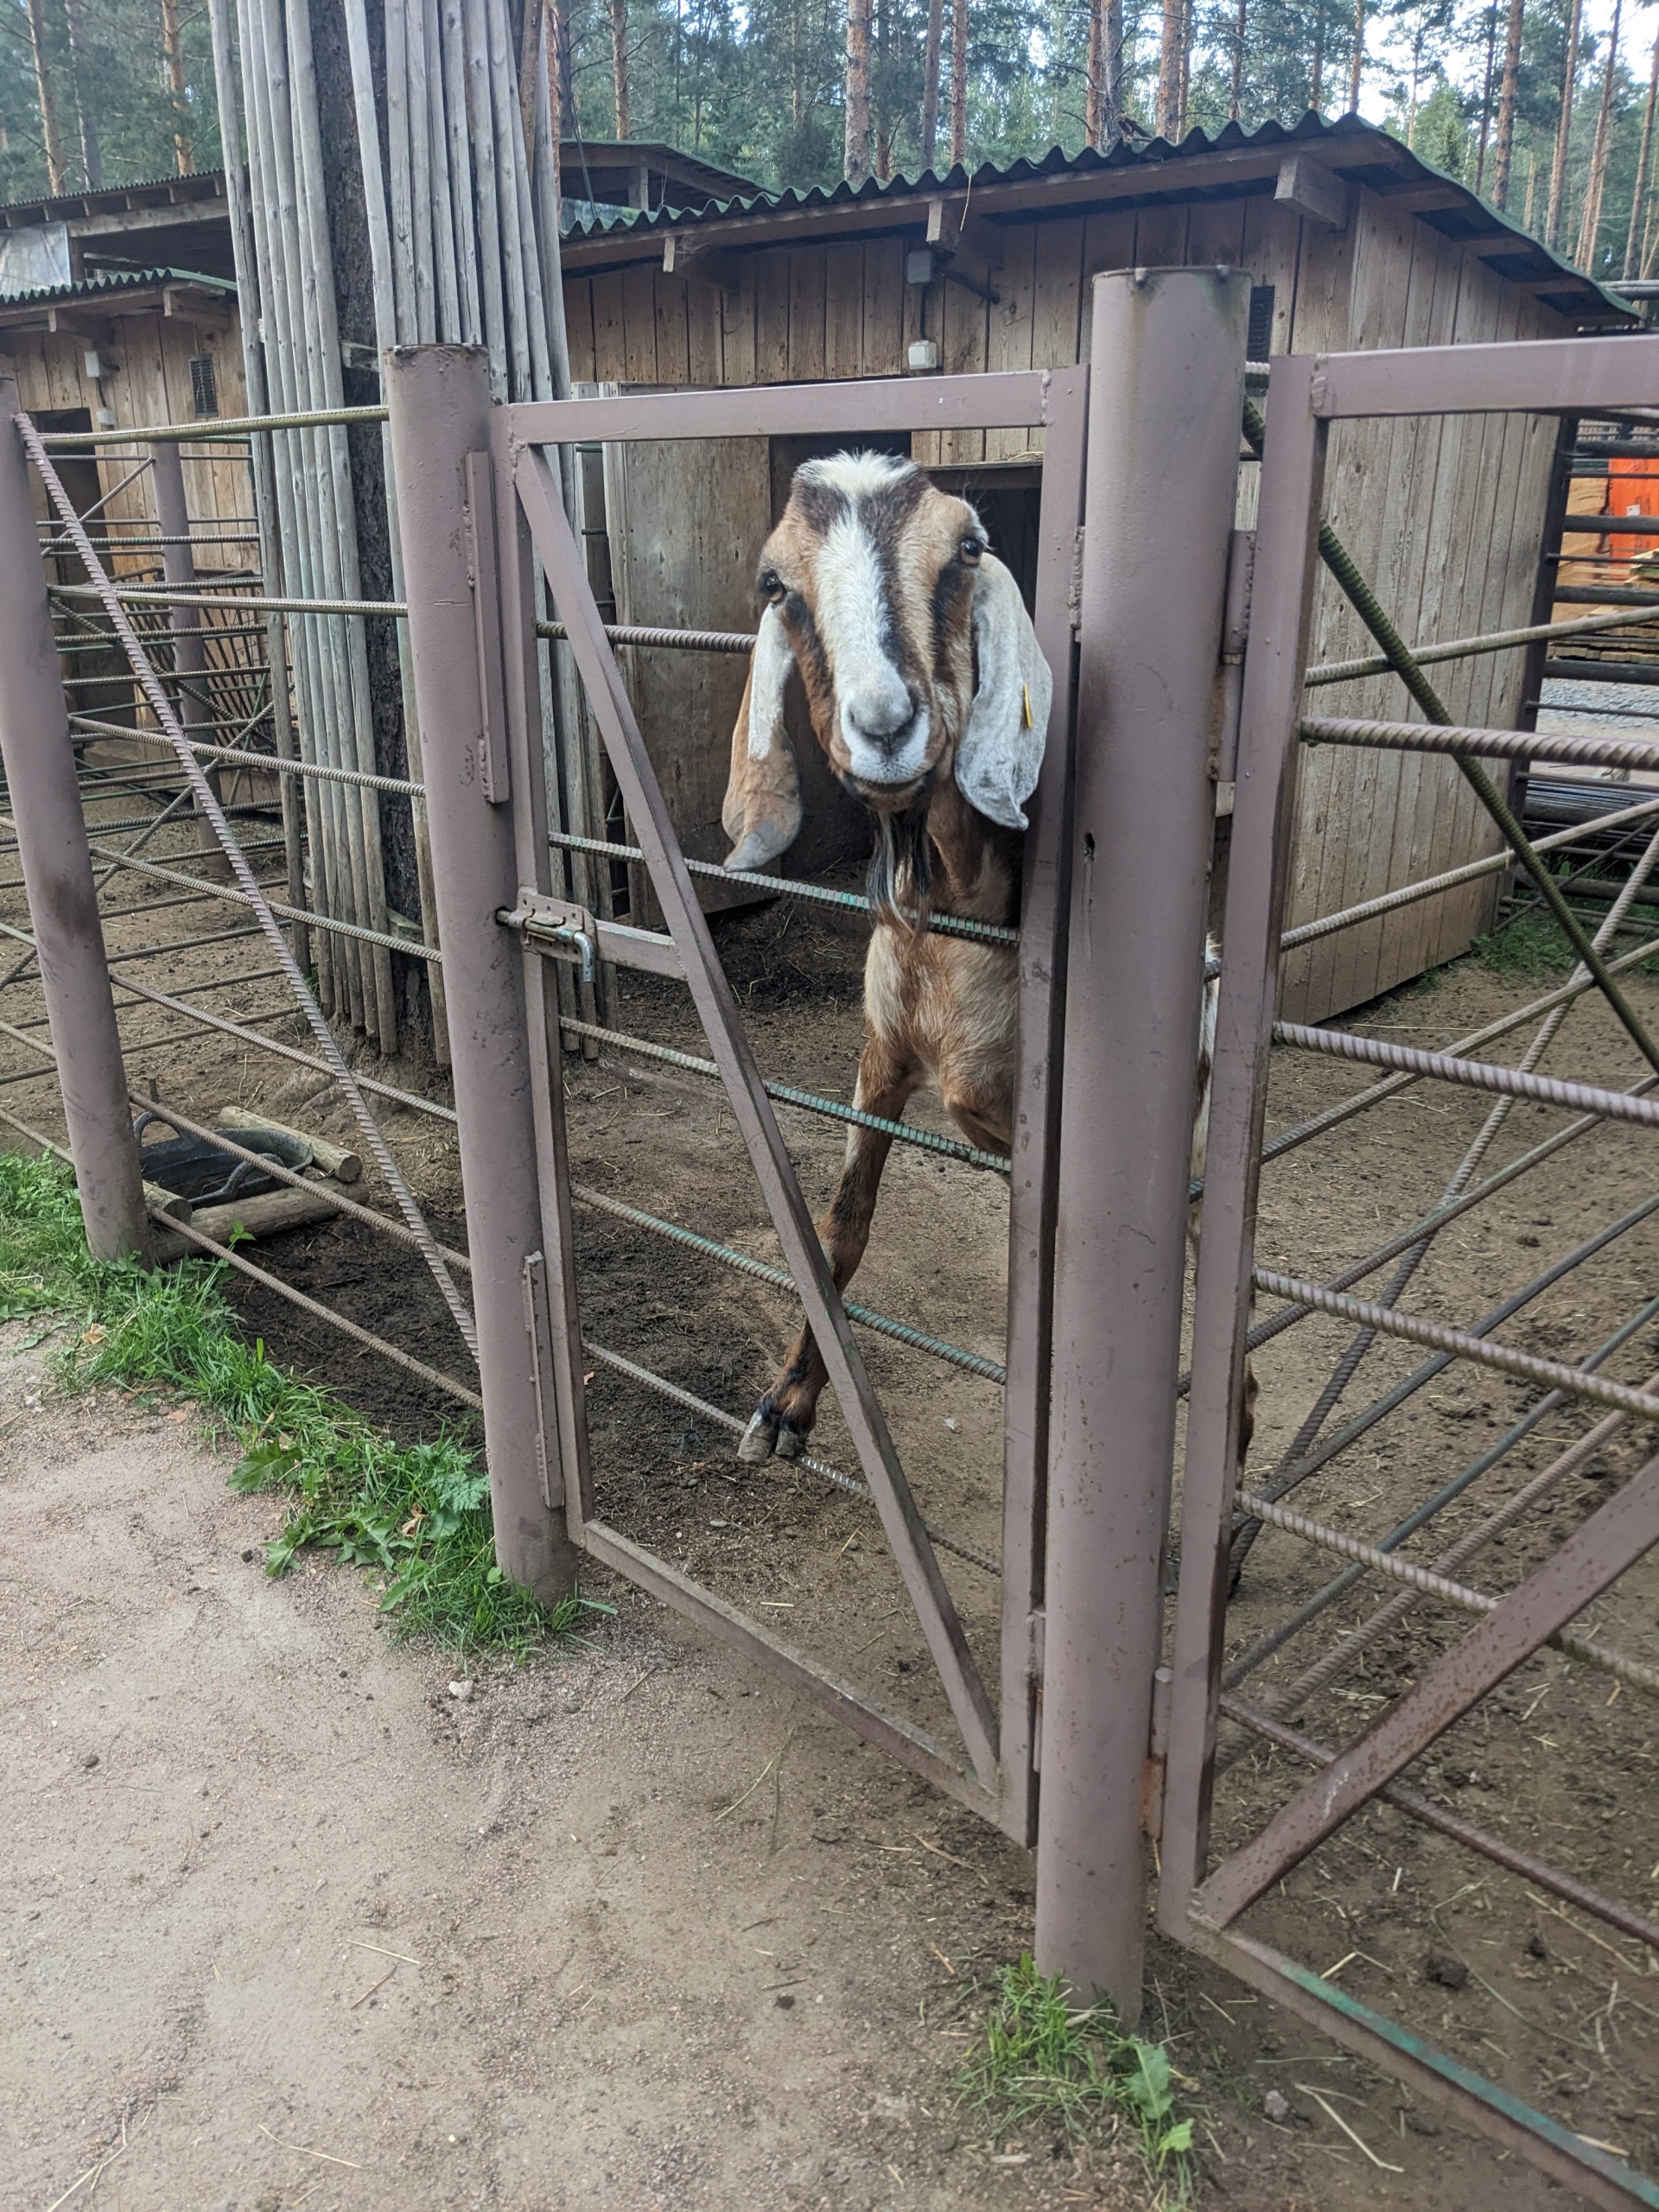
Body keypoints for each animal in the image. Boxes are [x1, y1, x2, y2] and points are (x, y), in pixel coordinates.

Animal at [716, 453, 1247, 1468]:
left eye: (967, 549)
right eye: (776, 584)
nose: (886, 724)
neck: (953, 934)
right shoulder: (881, 1054)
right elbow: (840, 1228)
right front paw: (785, 1407)